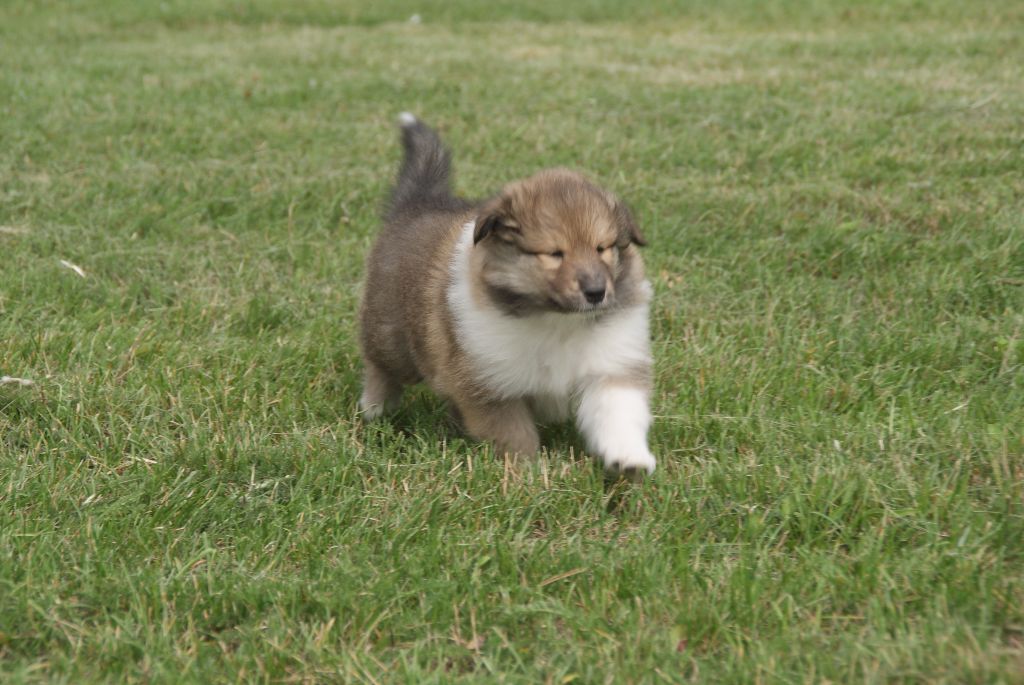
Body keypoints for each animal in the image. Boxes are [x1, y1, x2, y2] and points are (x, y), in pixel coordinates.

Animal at [359, 114, 656, 478]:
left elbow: (618, 412)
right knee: (381, 368)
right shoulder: (490, 383)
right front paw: (526, 475)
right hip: (391, 335)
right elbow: (515, 434)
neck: (557, 320)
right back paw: (374, 410)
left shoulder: (610, 363)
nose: (596, 293)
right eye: (555, 254)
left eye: (603, 248)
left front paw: (629, 459)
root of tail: (418, 203)